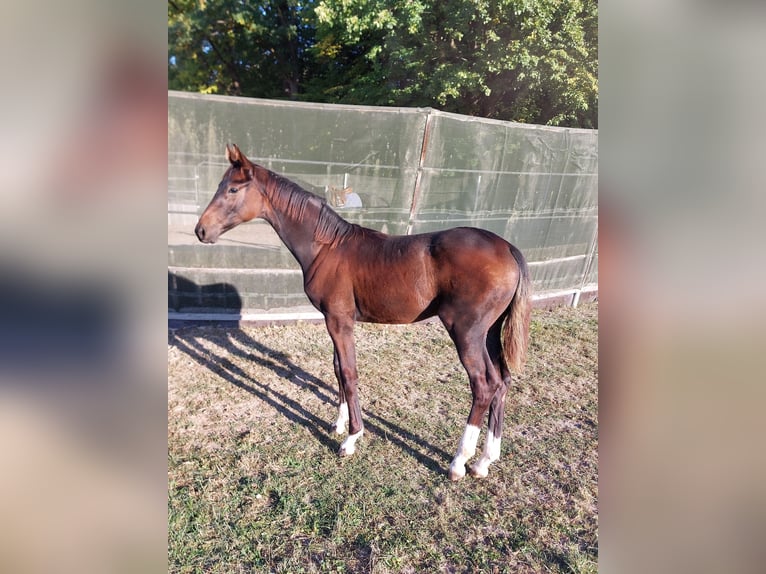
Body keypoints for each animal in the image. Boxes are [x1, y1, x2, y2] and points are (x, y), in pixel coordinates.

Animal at [195, 144, 531, 480]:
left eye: (233, 189)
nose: (201, 230)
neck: (327, 246)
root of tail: (508, 248)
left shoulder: (339, 320)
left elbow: (348, 372)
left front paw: (351, 438)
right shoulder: (333, 320)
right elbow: (336, 369)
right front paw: (338, 423)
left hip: (465, 331)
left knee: (483, 385)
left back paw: (459, 461)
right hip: (490, 332)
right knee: (502, 381)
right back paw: (484, 460)